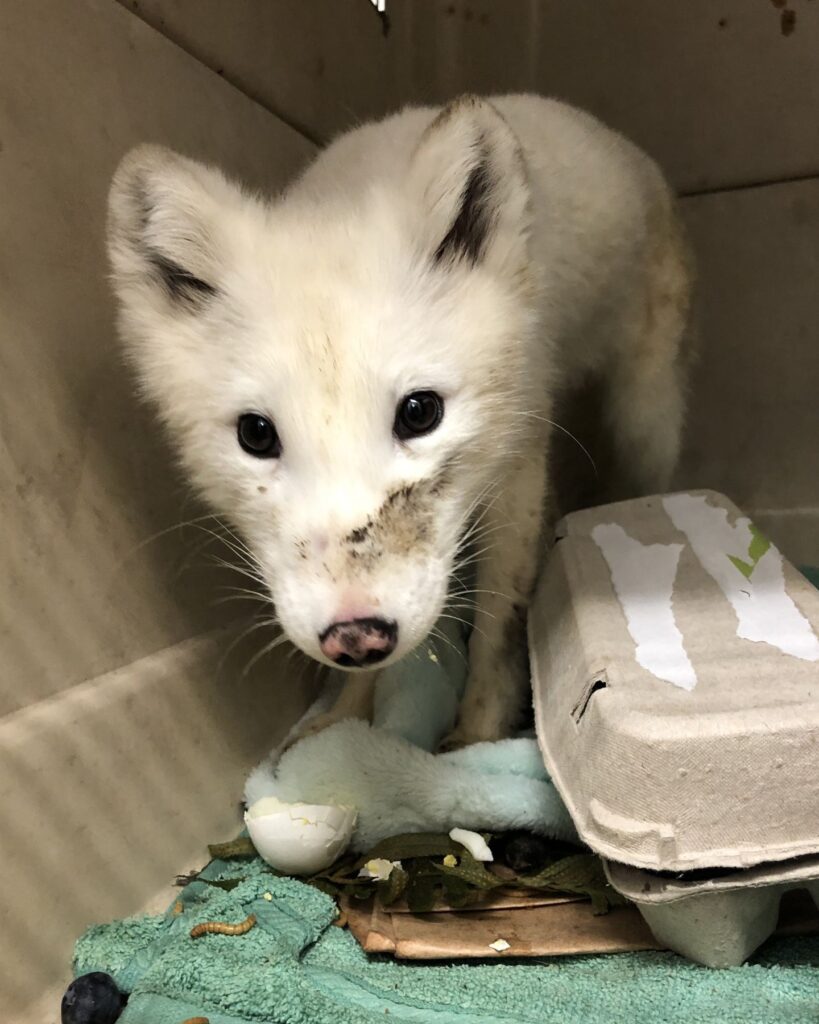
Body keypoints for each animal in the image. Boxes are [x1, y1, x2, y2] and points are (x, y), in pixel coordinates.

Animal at [107, 94, 693, 749]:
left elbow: (498, 623)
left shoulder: (520, 462)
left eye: (420, 412)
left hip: (644, 419)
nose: (357, 634)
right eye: (255, 434)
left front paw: (477, 736)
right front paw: (346, 718)